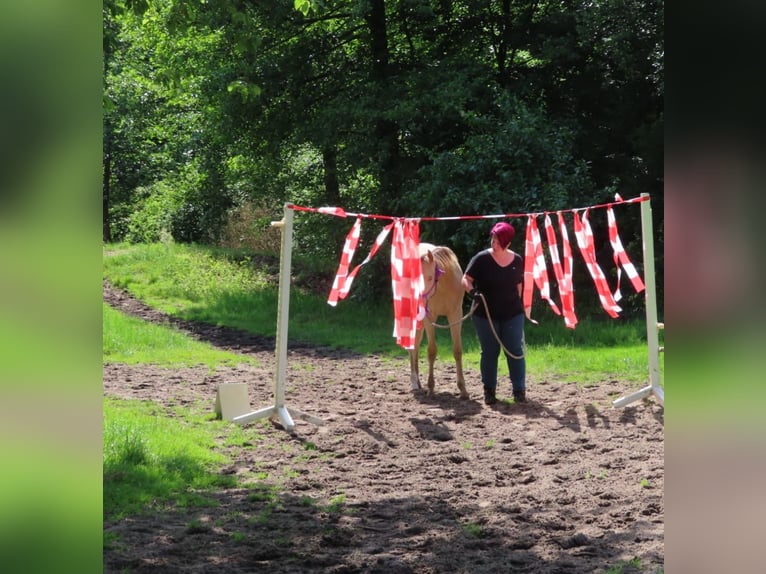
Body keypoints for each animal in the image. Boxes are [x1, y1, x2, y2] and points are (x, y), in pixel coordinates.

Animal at [412, 243, 472, 400]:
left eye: (430, 277)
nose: (419, 299)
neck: (444, 286)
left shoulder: (456, 315)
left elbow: (457, 350)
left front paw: (463, 390)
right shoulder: (429, 318)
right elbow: (431, 351)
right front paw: (431, 388)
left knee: (416, 344)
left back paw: (418, 382)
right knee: (412, 346)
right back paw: (414, 382)